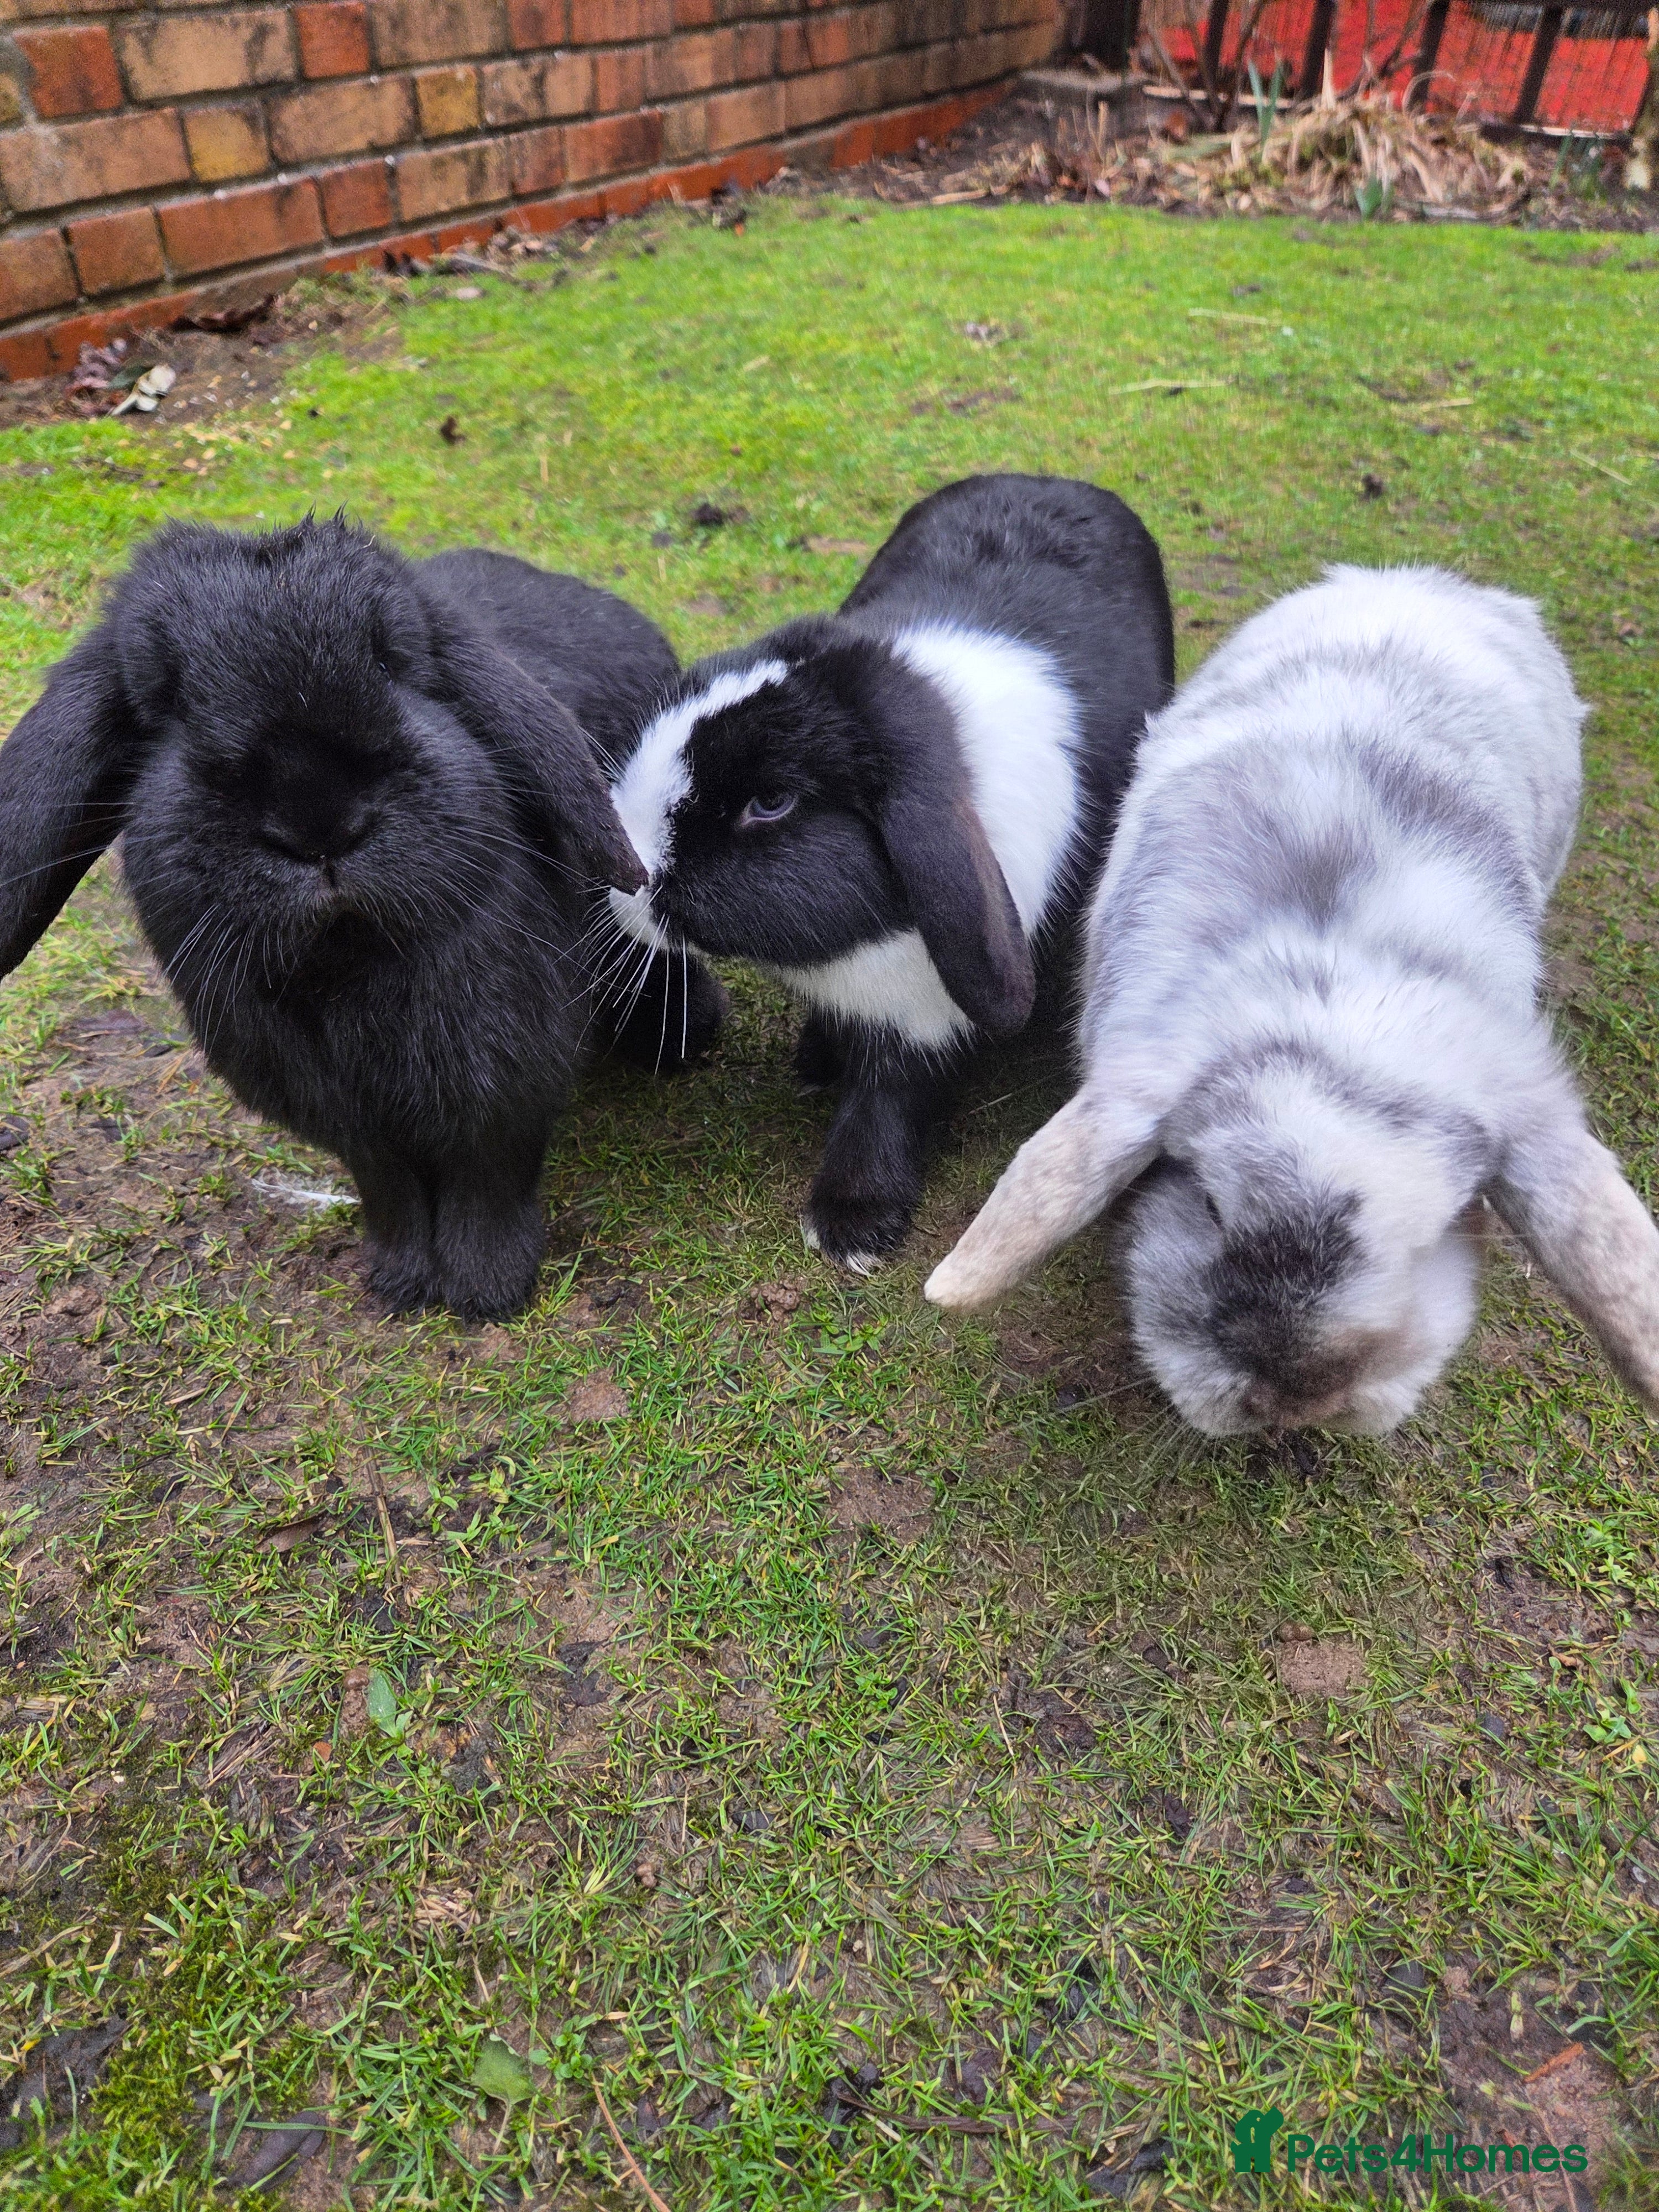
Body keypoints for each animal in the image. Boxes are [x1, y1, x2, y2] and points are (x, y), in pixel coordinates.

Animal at [0, 516, 721, 1320]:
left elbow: (488, 1186)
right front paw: (400, 1284)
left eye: (395, 658)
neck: (352, 962)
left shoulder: (504, 1087)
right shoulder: (355, 1126)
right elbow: (391, 1192)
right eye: (162, 698)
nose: (318, 822)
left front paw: (488, 1293)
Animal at [604, 473, 1175, 1271]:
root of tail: (1054, 481)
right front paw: (817, 1063)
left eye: (770, 802)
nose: (621, 879)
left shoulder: (918, 1018)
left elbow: (888, 1105)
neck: (850, 949)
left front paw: (851, 1227)